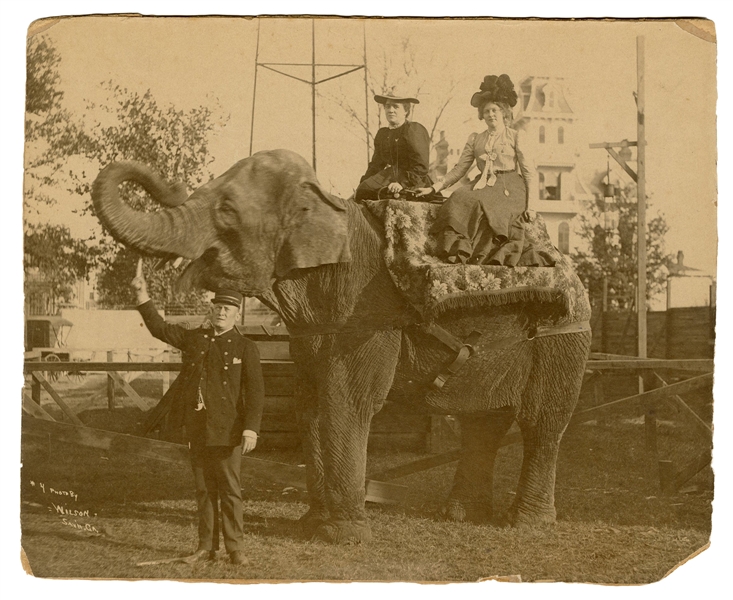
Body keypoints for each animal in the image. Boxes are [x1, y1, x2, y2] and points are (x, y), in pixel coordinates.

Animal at [91, 150, 592, 544]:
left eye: (227, 211)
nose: (171, 185)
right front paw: (311, 525)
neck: (324, 204)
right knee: (482, 421)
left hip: (562, 337)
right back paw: (461, 516)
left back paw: (525, 524)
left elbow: (346, 401)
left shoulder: (364, 312)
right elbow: (309, 404)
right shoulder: (316, 321)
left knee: (542, 422)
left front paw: (343, 535)